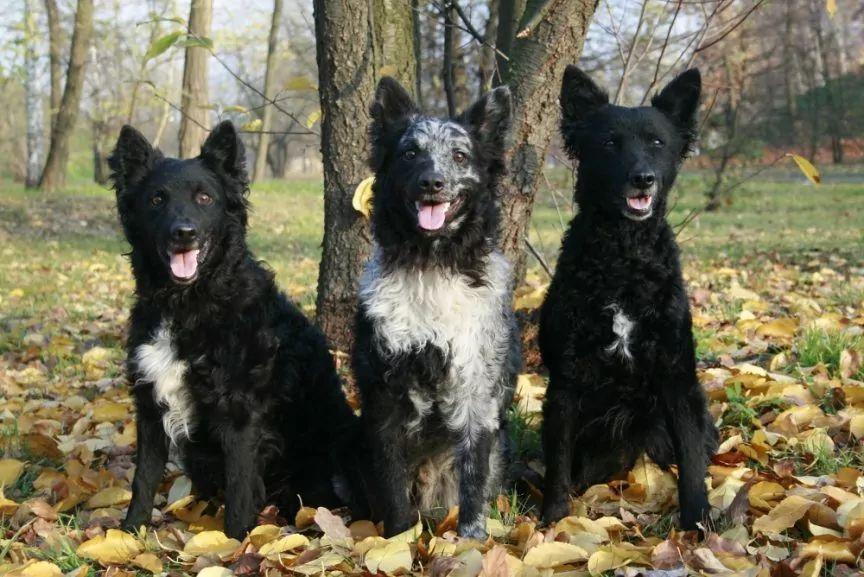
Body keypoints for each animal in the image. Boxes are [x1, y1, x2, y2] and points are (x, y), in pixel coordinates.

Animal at [112, 122, 362, 540]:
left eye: (204, 197)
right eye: (157, 199)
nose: (183, 233)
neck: (188, 304)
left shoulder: (240, 414)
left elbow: (240, 488)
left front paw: (233, 545)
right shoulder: (148, 405)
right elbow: (143, 479)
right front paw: (130, 534)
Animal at [352, 79, 520, 536]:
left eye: (460, 155)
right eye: (410, 153)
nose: (433, 182)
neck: (431, 265)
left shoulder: (477, 394)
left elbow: (473, 485)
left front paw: (471, 540)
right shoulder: (385, 402)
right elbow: (392, 490)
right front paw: (395, 541)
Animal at [540, 66, 716, 528]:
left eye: (656, 142)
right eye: (609, 143)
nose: (642, 178)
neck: (624, 258)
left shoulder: (677, 374)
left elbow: (691, 456)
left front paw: (698, 519)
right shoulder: (565, 381)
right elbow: (557, 462)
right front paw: (553, 519)